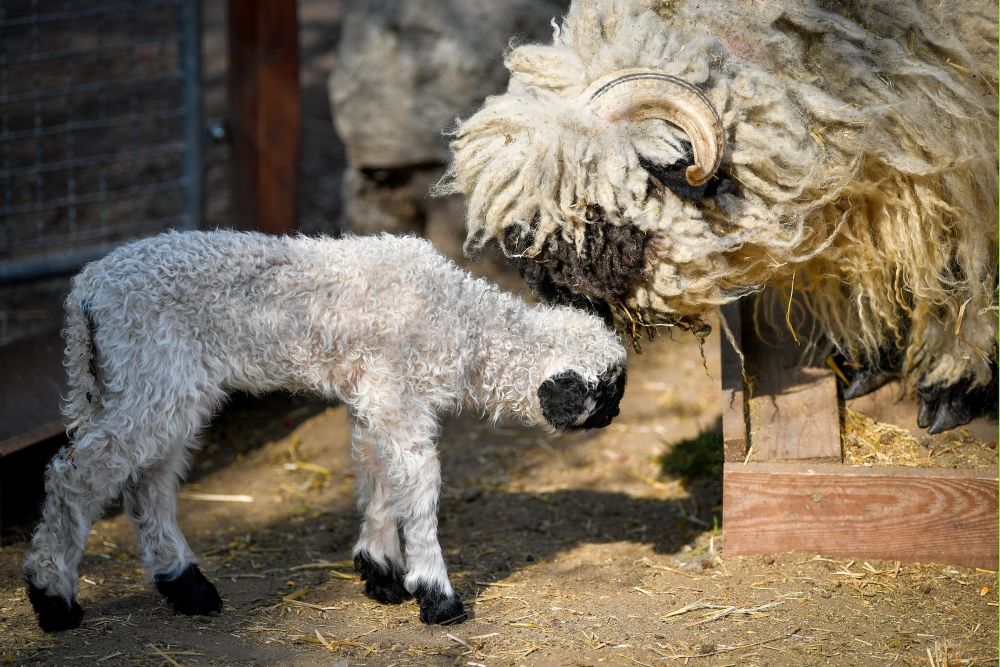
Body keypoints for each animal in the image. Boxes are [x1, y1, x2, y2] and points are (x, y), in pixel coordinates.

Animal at [23, 230, 628, 631]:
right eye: (610, 389)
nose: (616, 414)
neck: (460, 321)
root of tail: (85, 291)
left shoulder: (375, 396)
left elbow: (378, 474)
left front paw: (380, 572)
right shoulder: (400, 393)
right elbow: (419, 485)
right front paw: (437, 595)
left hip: (149, 383)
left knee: (147, 482)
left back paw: (187, 587)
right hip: (152, 374)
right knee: (75, 475)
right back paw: (52, 597)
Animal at [436, 0, 998, 433]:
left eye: (594, 212)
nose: (556, 295)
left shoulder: (962, 174)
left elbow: (956, 279)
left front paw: (950, 388)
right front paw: (869, 365)